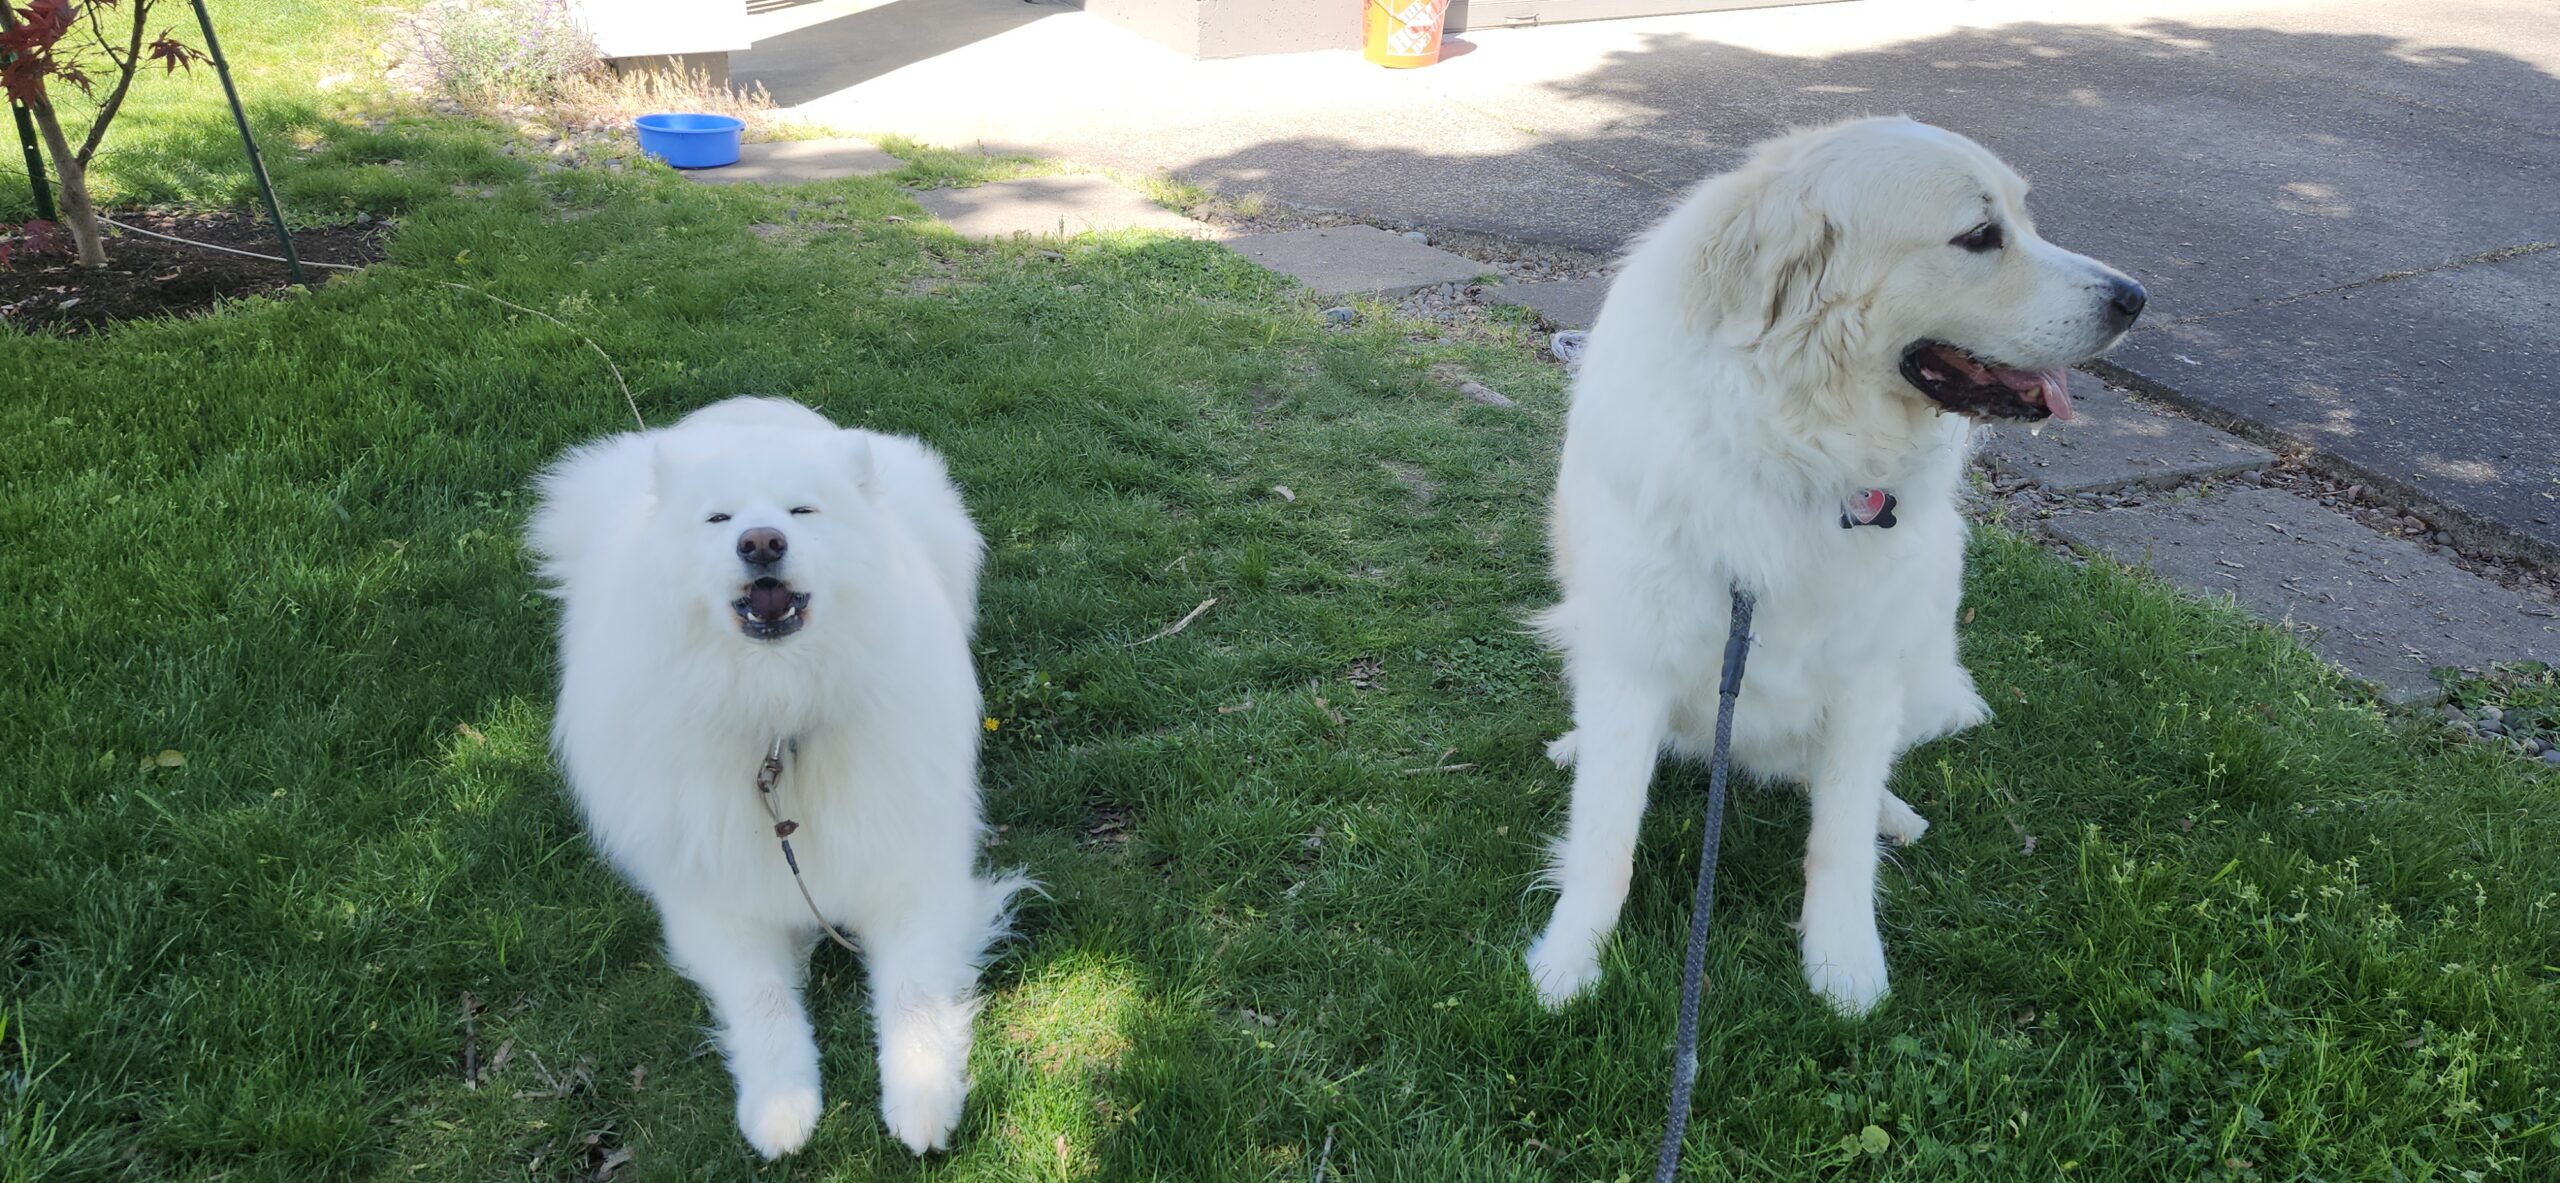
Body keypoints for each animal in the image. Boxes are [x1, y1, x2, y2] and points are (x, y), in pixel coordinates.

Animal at [530, 396, 1025, 1157]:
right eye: (718, 519)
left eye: (801, 510)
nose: (761, 542)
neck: (776, 713)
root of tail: (745, 404)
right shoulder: (715, 900)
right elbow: (762, 997)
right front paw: (781, 1105)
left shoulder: (913, 872)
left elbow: (912, 992)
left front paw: (922, 1097)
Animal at [1525, 117, 2145, 1015]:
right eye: (1980, 235)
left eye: (2026, 218)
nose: (2135, 297)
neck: (1797, 448)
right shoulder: (1634, 660)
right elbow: (1605, 836)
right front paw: (1568, 963)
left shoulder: (1865, 678)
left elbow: (1841, 839)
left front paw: (1845, 966)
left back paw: (1894, 813)